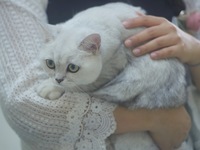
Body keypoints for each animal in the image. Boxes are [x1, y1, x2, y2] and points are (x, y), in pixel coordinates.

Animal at [36, 2, 188, 150]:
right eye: (50, 63)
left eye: (73, 68)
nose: (58, 79)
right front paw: (51, 83)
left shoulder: (112, 67)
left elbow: (82, 86)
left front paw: (50, 88)